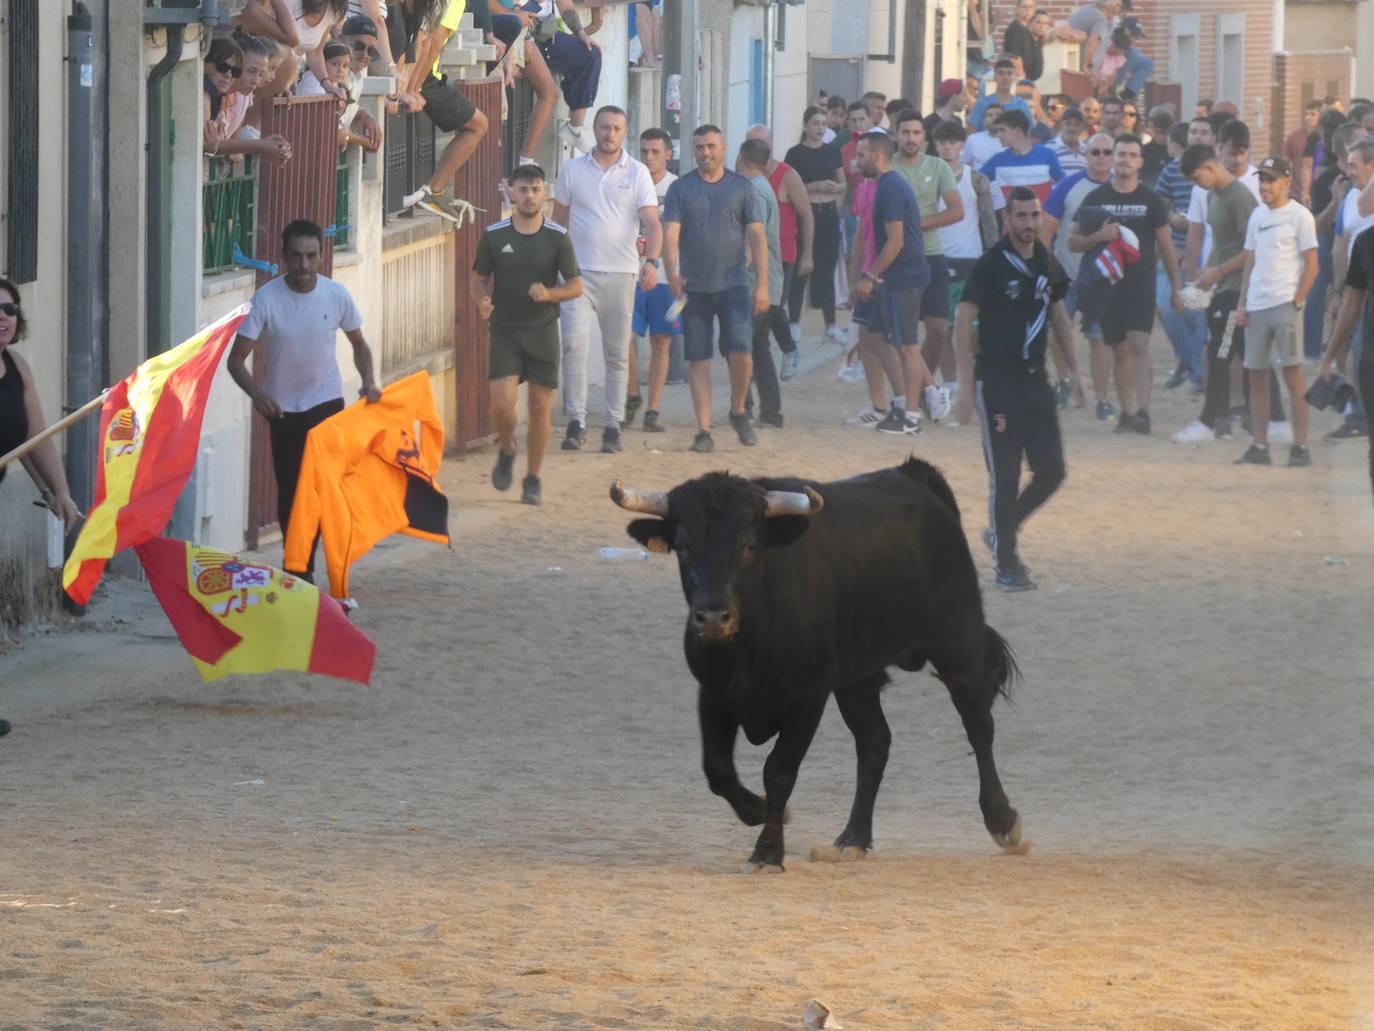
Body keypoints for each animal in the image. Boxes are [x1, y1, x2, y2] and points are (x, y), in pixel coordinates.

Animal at [612, 459, 1022, 874]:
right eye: (682, 547)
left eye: (748, 545)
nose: (712, 618)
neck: (752, 641)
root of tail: (913, 475)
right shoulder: (714, 693)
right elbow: (718, 769)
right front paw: (757, 811)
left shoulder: (807, 698)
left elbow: (778, 771)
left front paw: (768, 852)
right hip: (857, 680)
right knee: (875, 742)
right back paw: (853, 838)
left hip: (958, 647)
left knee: (978, 727)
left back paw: (1003, 821)